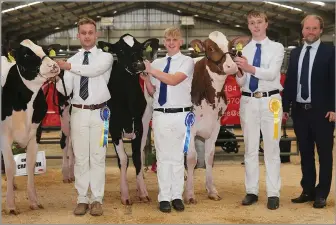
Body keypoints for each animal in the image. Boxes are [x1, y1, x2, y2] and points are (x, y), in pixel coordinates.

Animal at [0, 40, 60, 214]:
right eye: (26, 54)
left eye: (45, 50)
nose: (54, 65)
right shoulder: (4, 136)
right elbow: (11, 166)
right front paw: (10, 205)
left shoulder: (35, 134)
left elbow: (31, 164)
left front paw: (34, 201)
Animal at [98, 34, 159, 205]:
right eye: (120, 50)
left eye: (140, 49)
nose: (139, 65)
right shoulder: (114, 128)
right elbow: (123, 159)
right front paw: (125, 194)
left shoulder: (140, 126)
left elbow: (137, 157)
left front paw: (143, 192)